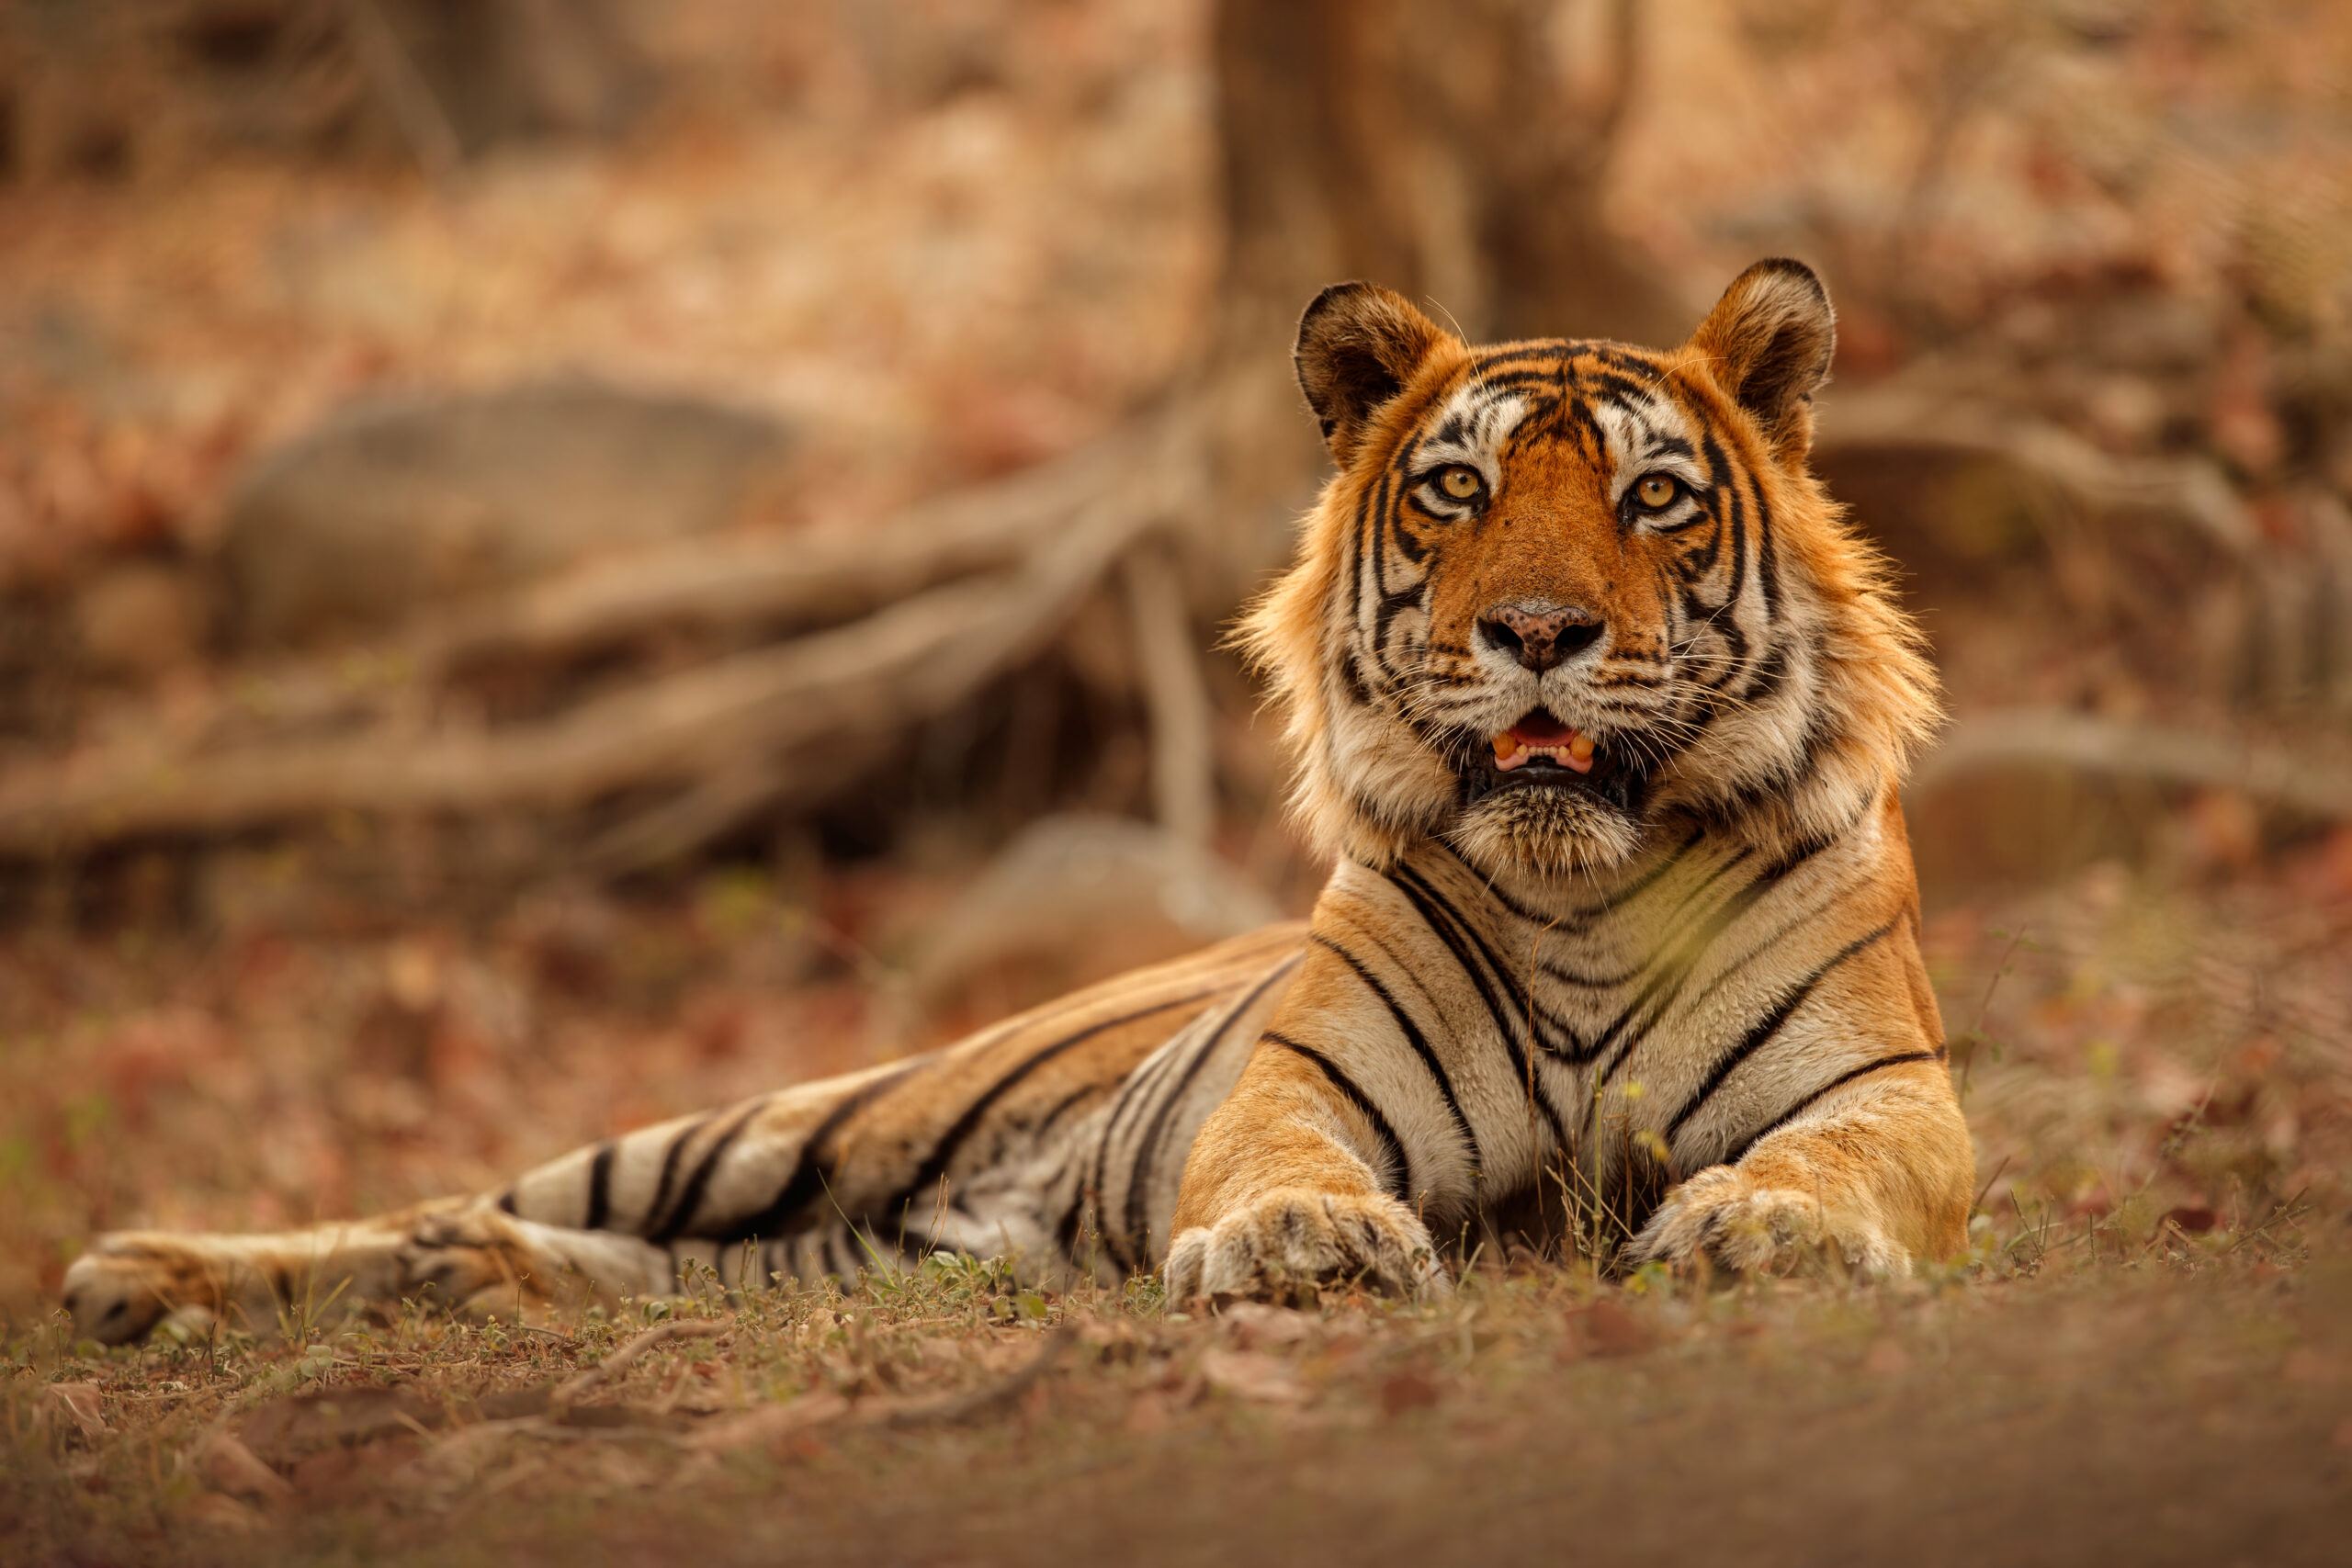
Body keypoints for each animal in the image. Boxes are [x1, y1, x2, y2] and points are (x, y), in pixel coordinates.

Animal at [61, 258, 1971, 1344]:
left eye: (1653, 497)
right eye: (1455, 490)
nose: (1540, 633)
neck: (1579, 888)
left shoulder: (1893, 1096)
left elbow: (1839, 1155)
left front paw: (1766, 1228)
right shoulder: (1293, 1084)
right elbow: (1284, 1157)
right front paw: (1303, 1241)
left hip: (862, 1244)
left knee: (622, 1262)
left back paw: (470, 1287)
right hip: (782, 1122)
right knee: (462, 1196)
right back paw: (149, 1274)